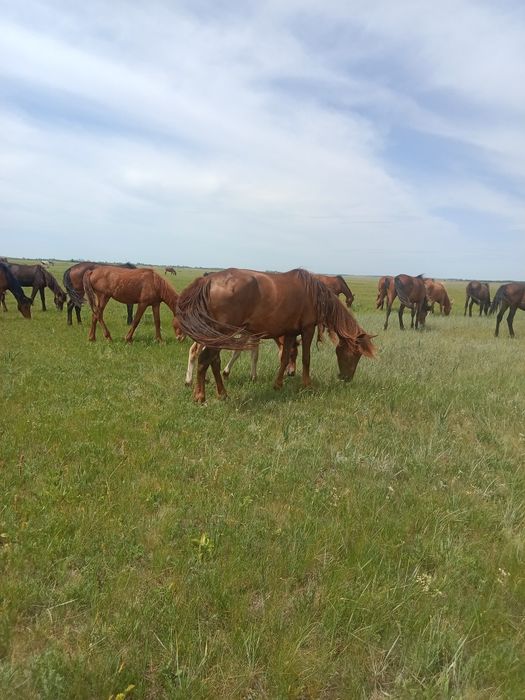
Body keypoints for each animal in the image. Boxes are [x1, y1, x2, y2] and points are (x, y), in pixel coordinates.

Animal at [175, 268, 375, 403]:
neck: (313, 294)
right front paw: (307, 385)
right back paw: (200, 396)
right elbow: (306, 358)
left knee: (213, 361)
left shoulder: (290, 332)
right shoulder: (307, 329)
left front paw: (278, 384)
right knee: (204, 359)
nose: (346, 378)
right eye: (356, 354)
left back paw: (222, 393)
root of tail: (208, 281)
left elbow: (285, 358)